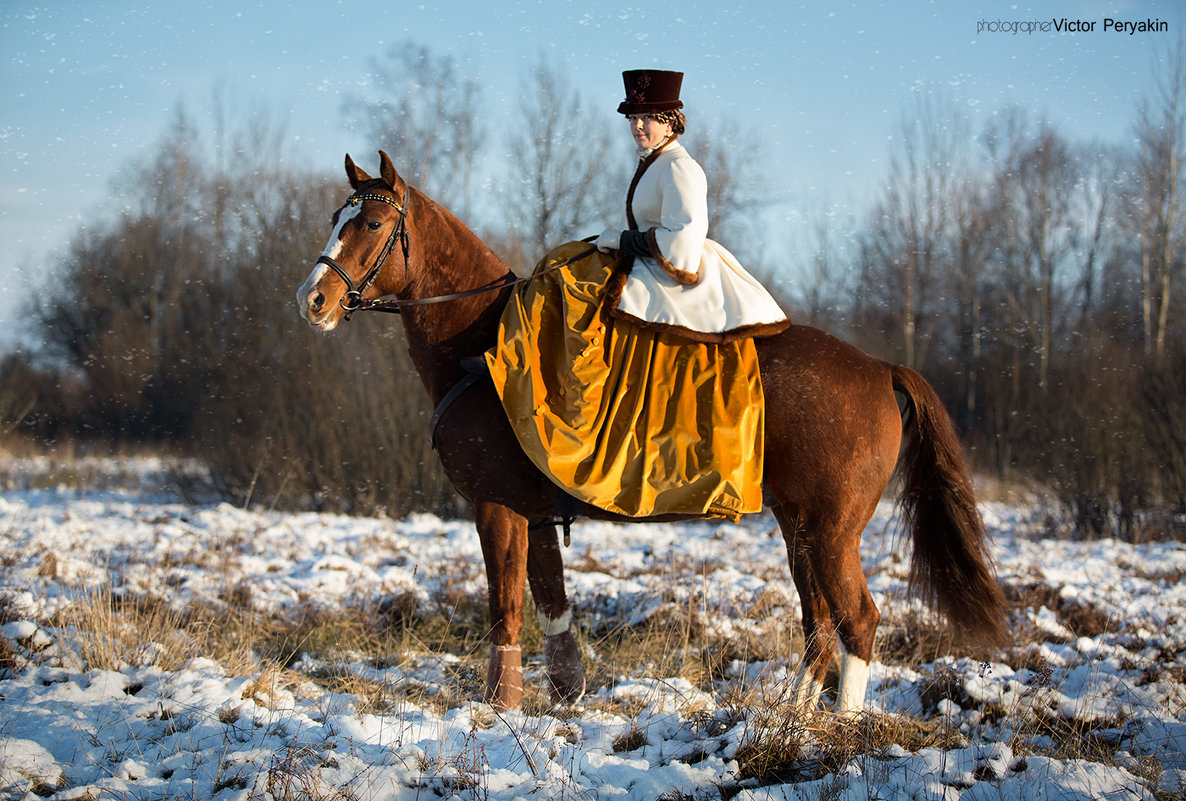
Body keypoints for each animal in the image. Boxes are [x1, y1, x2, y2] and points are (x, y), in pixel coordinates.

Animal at [291, 151, 1005, 716]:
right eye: (334, 219)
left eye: (372, 223)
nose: (312, 302)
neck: (481, 345)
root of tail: (882, 368)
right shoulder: (536, 511)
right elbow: (551, 603)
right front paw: (564, 694)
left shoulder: (495, 508)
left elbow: (505, 608)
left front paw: (499, 709)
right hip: (800, 525)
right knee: (819, 622)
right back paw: (794, 716)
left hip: (832, 530)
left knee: (858, 619)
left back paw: (841, 730)